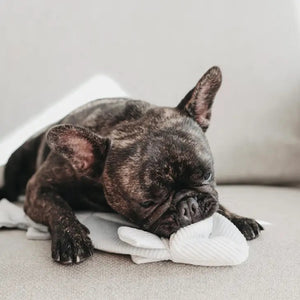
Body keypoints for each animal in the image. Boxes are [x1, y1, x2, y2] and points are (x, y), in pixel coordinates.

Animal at [0, 67, 262, 264]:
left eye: (207, 175)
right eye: (147, 202)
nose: (189, 206)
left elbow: (218, 203)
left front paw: (236, 218)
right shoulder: (38, 188)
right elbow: (57, 206)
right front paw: (71, 237)